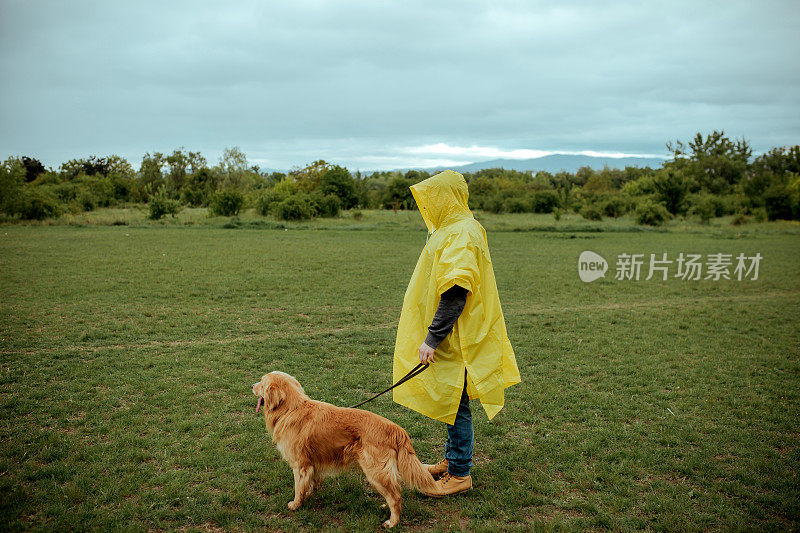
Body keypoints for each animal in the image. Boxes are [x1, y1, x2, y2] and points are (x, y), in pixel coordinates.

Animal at [252, 372, 444, 524]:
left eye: (261, 382)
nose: (252, 386)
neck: (291, 408)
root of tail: (396, 429)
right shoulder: (311, 465)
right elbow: (309, 484)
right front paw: (308, 496)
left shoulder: (300, 465)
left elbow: (299, 488)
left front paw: (295, 505)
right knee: (395, 492)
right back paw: (385, 506)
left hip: (375, 471)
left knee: (395, 496)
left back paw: (392, 522)